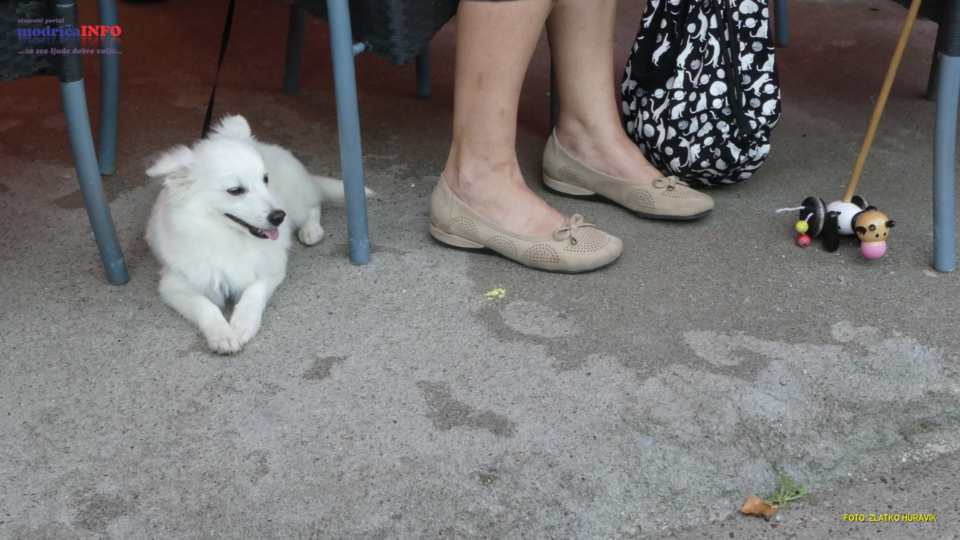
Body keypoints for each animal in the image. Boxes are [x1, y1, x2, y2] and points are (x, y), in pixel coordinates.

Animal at [146, 115, 367, 354]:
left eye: (265, 179)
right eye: (235, 191)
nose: (279, 217)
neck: (227, 235)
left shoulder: (271, 269)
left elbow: (253, 294)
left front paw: (242, 325)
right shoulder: (174, 285)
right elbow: (205, 306)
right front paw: (222, 334)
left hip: (296, 201)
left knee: (314, 206)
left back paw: (311, 230)